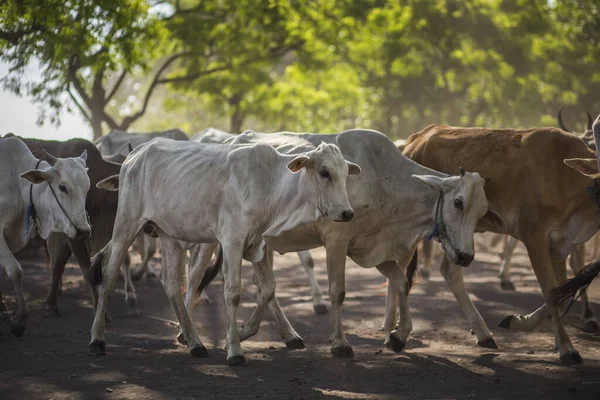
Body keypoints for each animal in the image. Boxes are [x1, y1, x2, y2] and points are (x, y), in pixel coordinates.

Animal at [88, 139, 360, 364]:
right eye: (324, 172)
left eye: (346, 173)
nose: (347, 213)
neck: (270, 184)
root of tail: (135, 154)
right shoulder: (232, 242)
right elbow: (233, 293)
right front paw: (234, 350)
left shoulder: (257, 245)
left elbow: (268, 289)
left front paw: (243, 332)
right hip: (126, 224)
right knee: (109, 275)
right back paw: (97, 340)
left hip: (169, 235)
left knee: (172, 285)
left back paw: (195, 343)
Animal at [190, 129, 500, 356]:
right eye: (458, 203)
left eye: (482, 211)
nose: (466, 256)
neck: (385, 181)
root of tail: (230, 140)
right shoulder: (336, 242)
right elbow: (337, 292)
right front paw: (340, 343)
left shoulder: (373, 249)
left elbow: (402, 283)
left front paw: (399, 336)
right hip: (215, 240)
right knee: (195, 275)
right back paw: (190, 335)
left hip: (260, 246)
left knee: (264, 286)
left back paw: (287, 335)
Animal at [396, 117, 600, 364]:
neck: (567, 179)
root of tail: (413, 140)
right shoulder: (535, 238)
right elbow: (552, 294)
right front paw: (567, 349)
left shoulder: (562, 244)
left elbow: (562, 290)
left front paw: (517, 321)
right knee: (399, 269)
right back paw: (395, 333)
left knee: (448, 271)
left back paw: (483, 333)